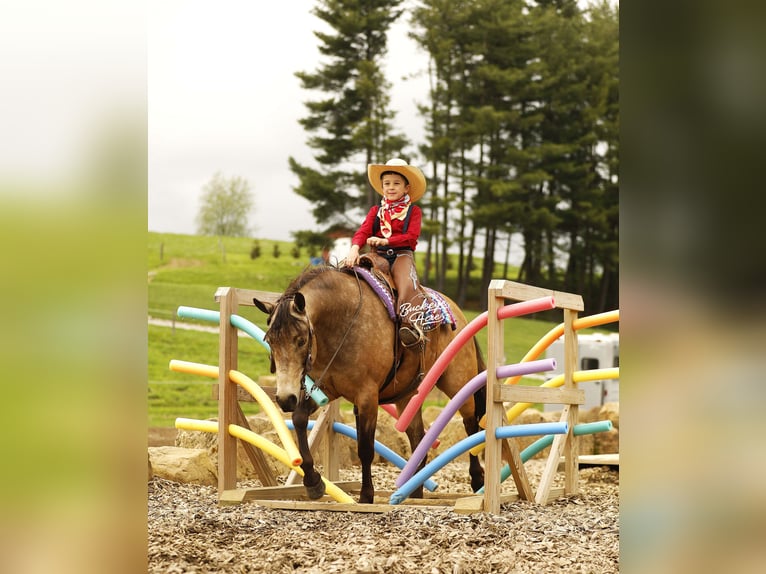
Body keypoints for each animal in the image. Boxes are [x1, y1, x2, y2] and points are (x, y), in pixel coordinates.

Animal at [254, 265, 488, 504]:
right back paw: (414, 493)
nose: (284, 398)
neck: (342, 324)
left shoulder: (367, 397)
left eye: (300, 340)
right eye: (270, 341)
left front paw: (366, 495)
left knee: (471, 424)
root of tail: (457, 312)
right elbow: (299, 420)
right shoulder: (326, 389)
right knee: (417, 438)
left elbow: (365, 448)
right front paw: (313, 482)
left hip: (458, 382)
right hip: (408, 397)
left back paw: (477, 480)